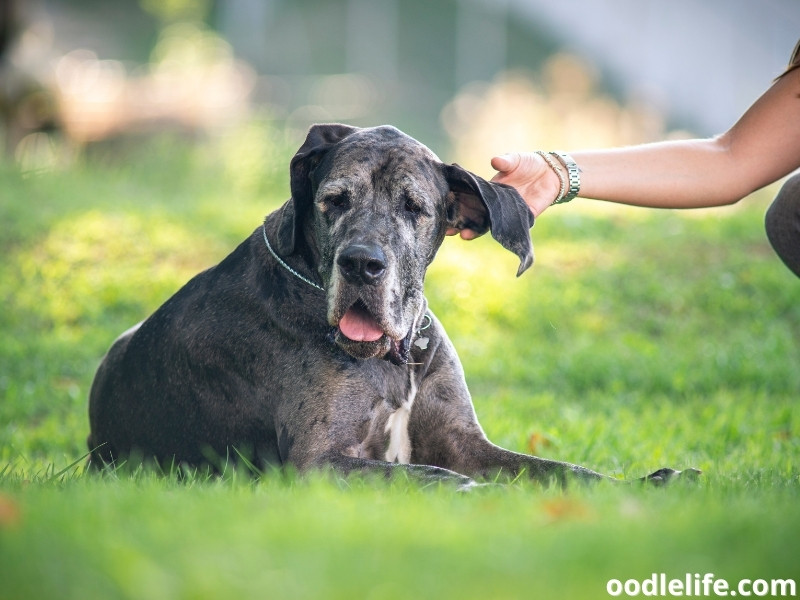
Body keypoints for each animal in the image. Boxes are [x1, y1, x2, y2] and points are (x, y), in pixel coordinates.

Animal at [89, 123, 692, 488]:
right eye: (334, 201)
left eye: (415, 208)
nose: (361, 264)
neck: (394, 356)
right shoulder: (319, 461)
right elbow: (426, 475)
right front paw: (478, 494)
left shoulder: (464, 441)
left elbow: (556, 468)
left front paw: (646, 483)